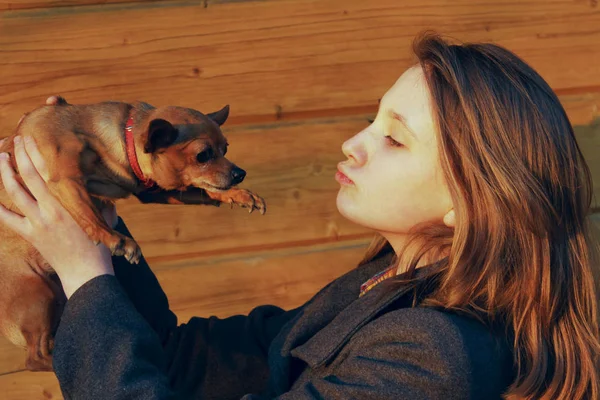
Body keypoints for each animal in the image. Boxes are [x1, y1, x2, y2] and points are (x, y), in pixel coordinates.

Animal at [0, 95, 264, 370]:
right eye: (203, 155)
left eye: (226, 149)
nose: (240, 173)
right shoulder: (65, 180)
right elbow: (88, 214)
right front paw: (116, 239)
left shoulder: (154, 191)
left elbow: (205, 191)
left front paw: (239, 195)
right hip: (40, 296)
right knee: (34, 358)